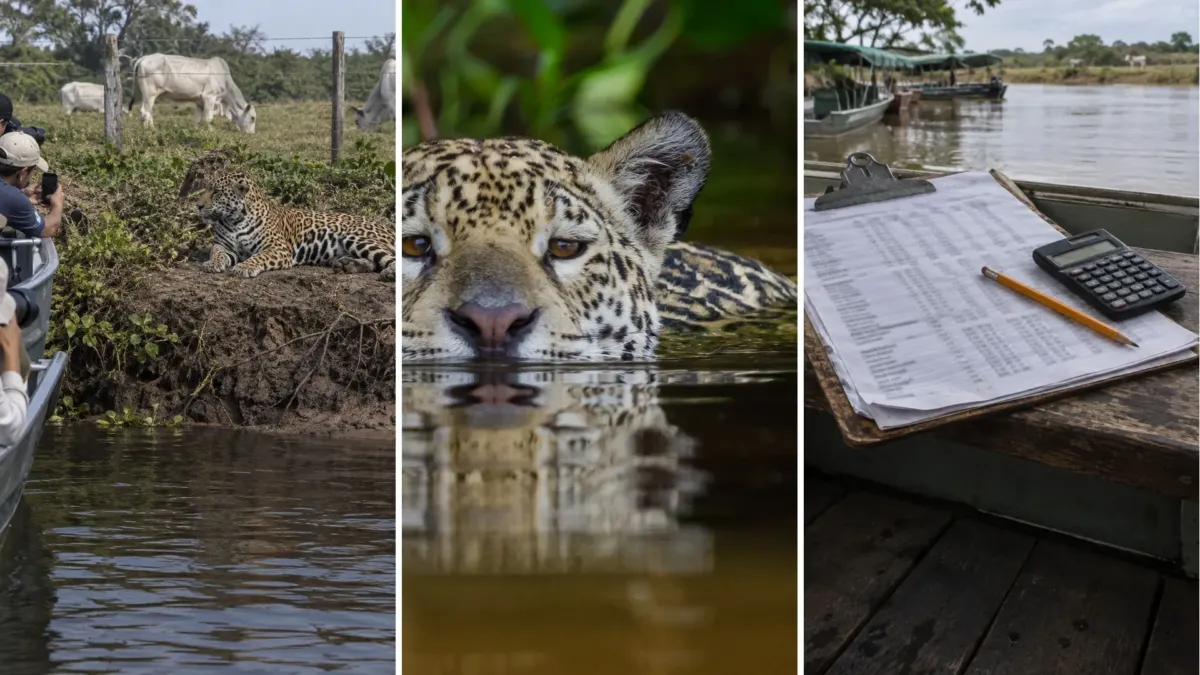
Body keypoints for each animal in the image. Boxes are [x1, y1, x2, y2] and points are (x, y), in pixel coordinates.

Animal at [179, 151, 395, 281]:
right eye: (205, 189)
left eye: (216, 192)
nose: (198, 206)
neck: (235, 219)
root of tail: (389, 228)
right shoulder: (224, 245)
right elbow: (216, 252)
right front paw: (214, 263)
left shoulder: (277, 248)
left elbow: (258, 257)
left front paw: (244, 267)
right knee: (373, 263)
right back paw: (347, 265)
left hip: (355, 237)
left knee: (389, 258)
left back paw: (388, 273)